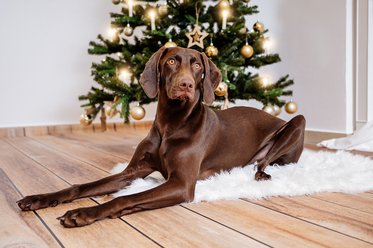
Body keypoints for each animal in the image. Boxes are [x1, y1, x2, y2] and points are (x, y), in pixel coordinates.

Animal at [16, 46, 306, 227]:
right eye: (171, 61)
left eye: (197, 65)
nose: (185, 85)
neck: (172, 124)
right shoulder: (132, 171)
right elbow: (81, 186)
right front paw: (39, 198)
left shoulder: (182, 184)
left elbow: (126, 197)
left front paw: (84, 213)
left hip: (297, 122)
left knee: (264, 162)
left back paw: (260, 173)